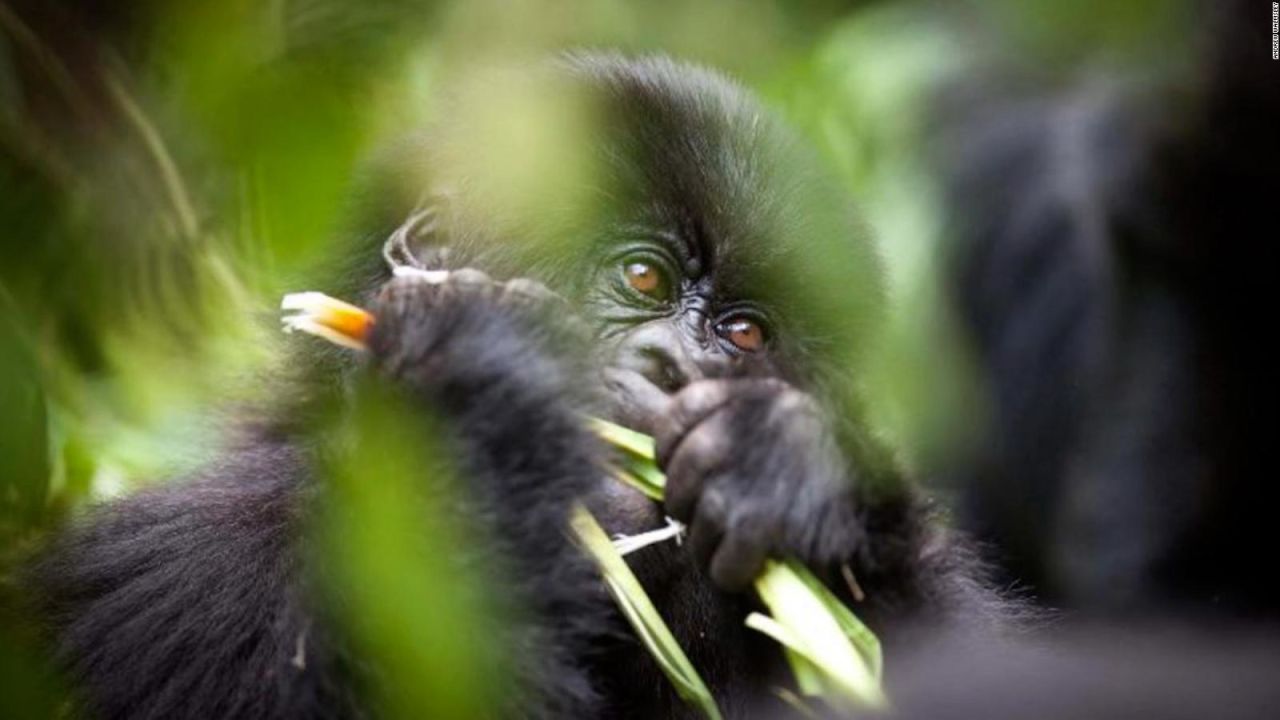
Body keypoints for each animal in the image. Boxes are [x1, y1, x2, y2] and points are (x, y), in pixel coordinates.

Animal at [30, 53, 1008, 712]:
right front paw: (472, 393)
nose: (676, 369)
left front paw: (800, 465)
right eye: (644, 278)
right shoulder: (184, 559)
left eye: (744, 334)